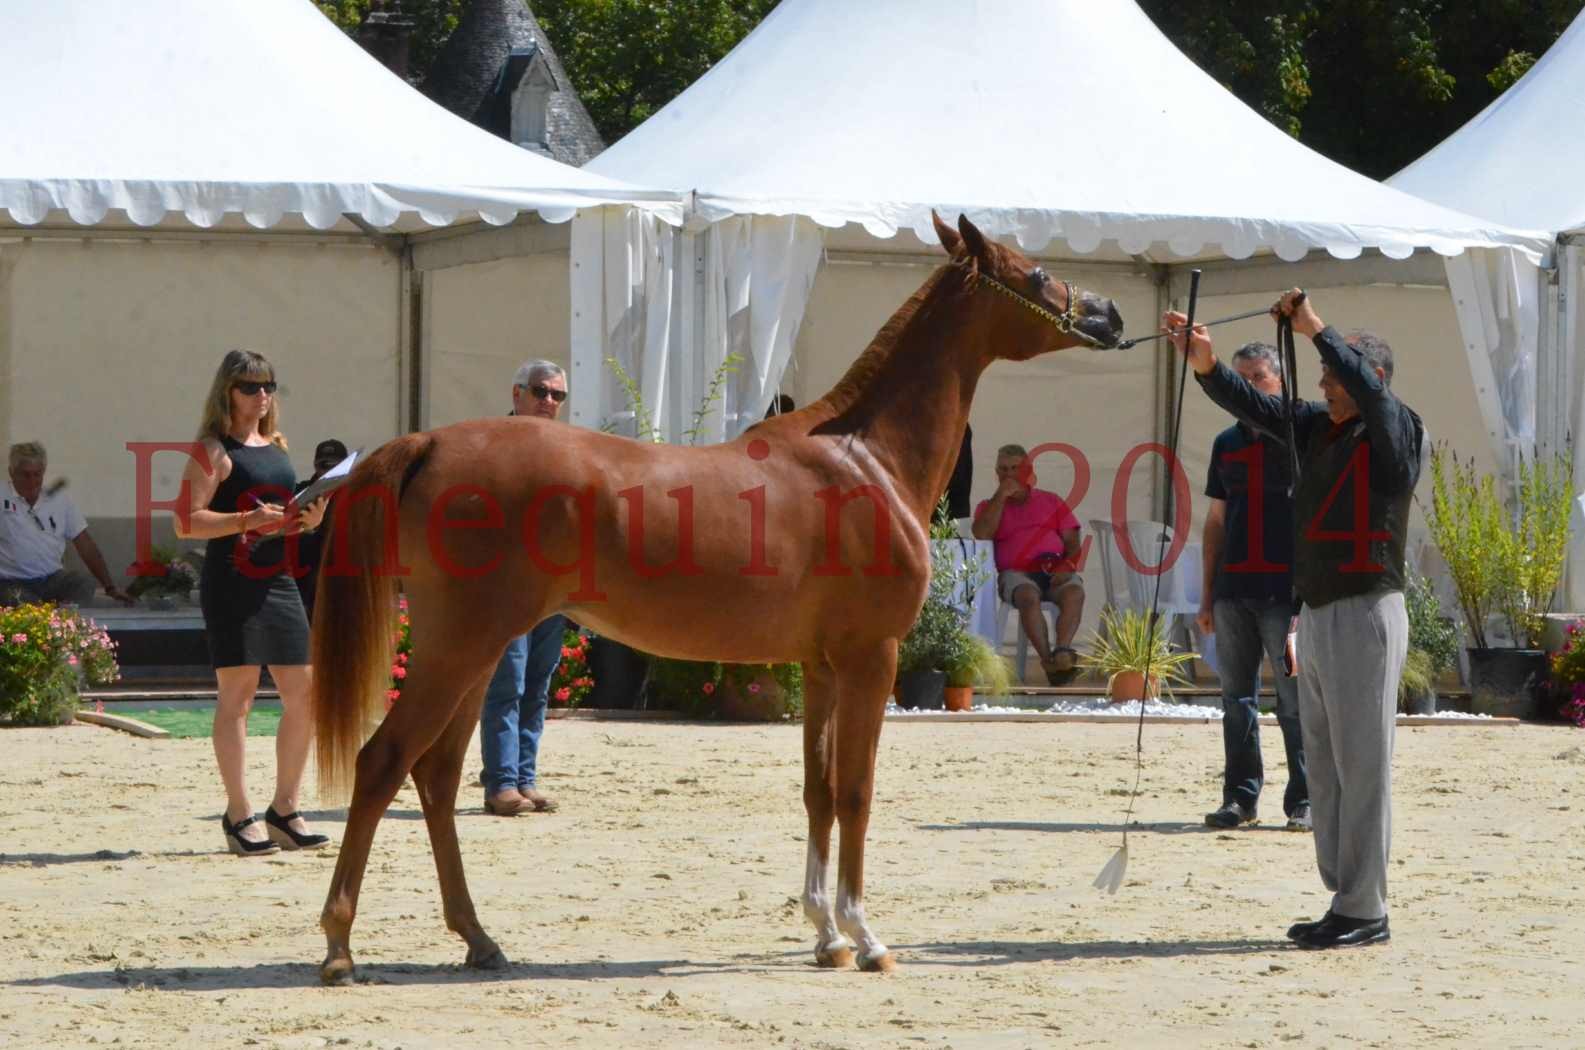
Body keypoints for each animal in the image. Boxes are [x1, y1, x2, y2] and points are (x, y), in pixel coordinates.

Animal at [312, 212, 1128, 989]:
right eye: (1036, 272)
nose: (1109, 313)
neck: (865, 458)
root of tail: (427, 443)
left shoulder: (822, 667)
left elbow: (819, 791)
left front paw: (826, 938)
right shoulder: (872, 658)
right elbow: (857, 792)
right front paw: (866, 939)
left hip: (474, 651)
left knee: (436, 777)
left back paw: (479, 940)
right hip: (460, 647)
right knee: (382, 762)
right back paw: (341, 949)